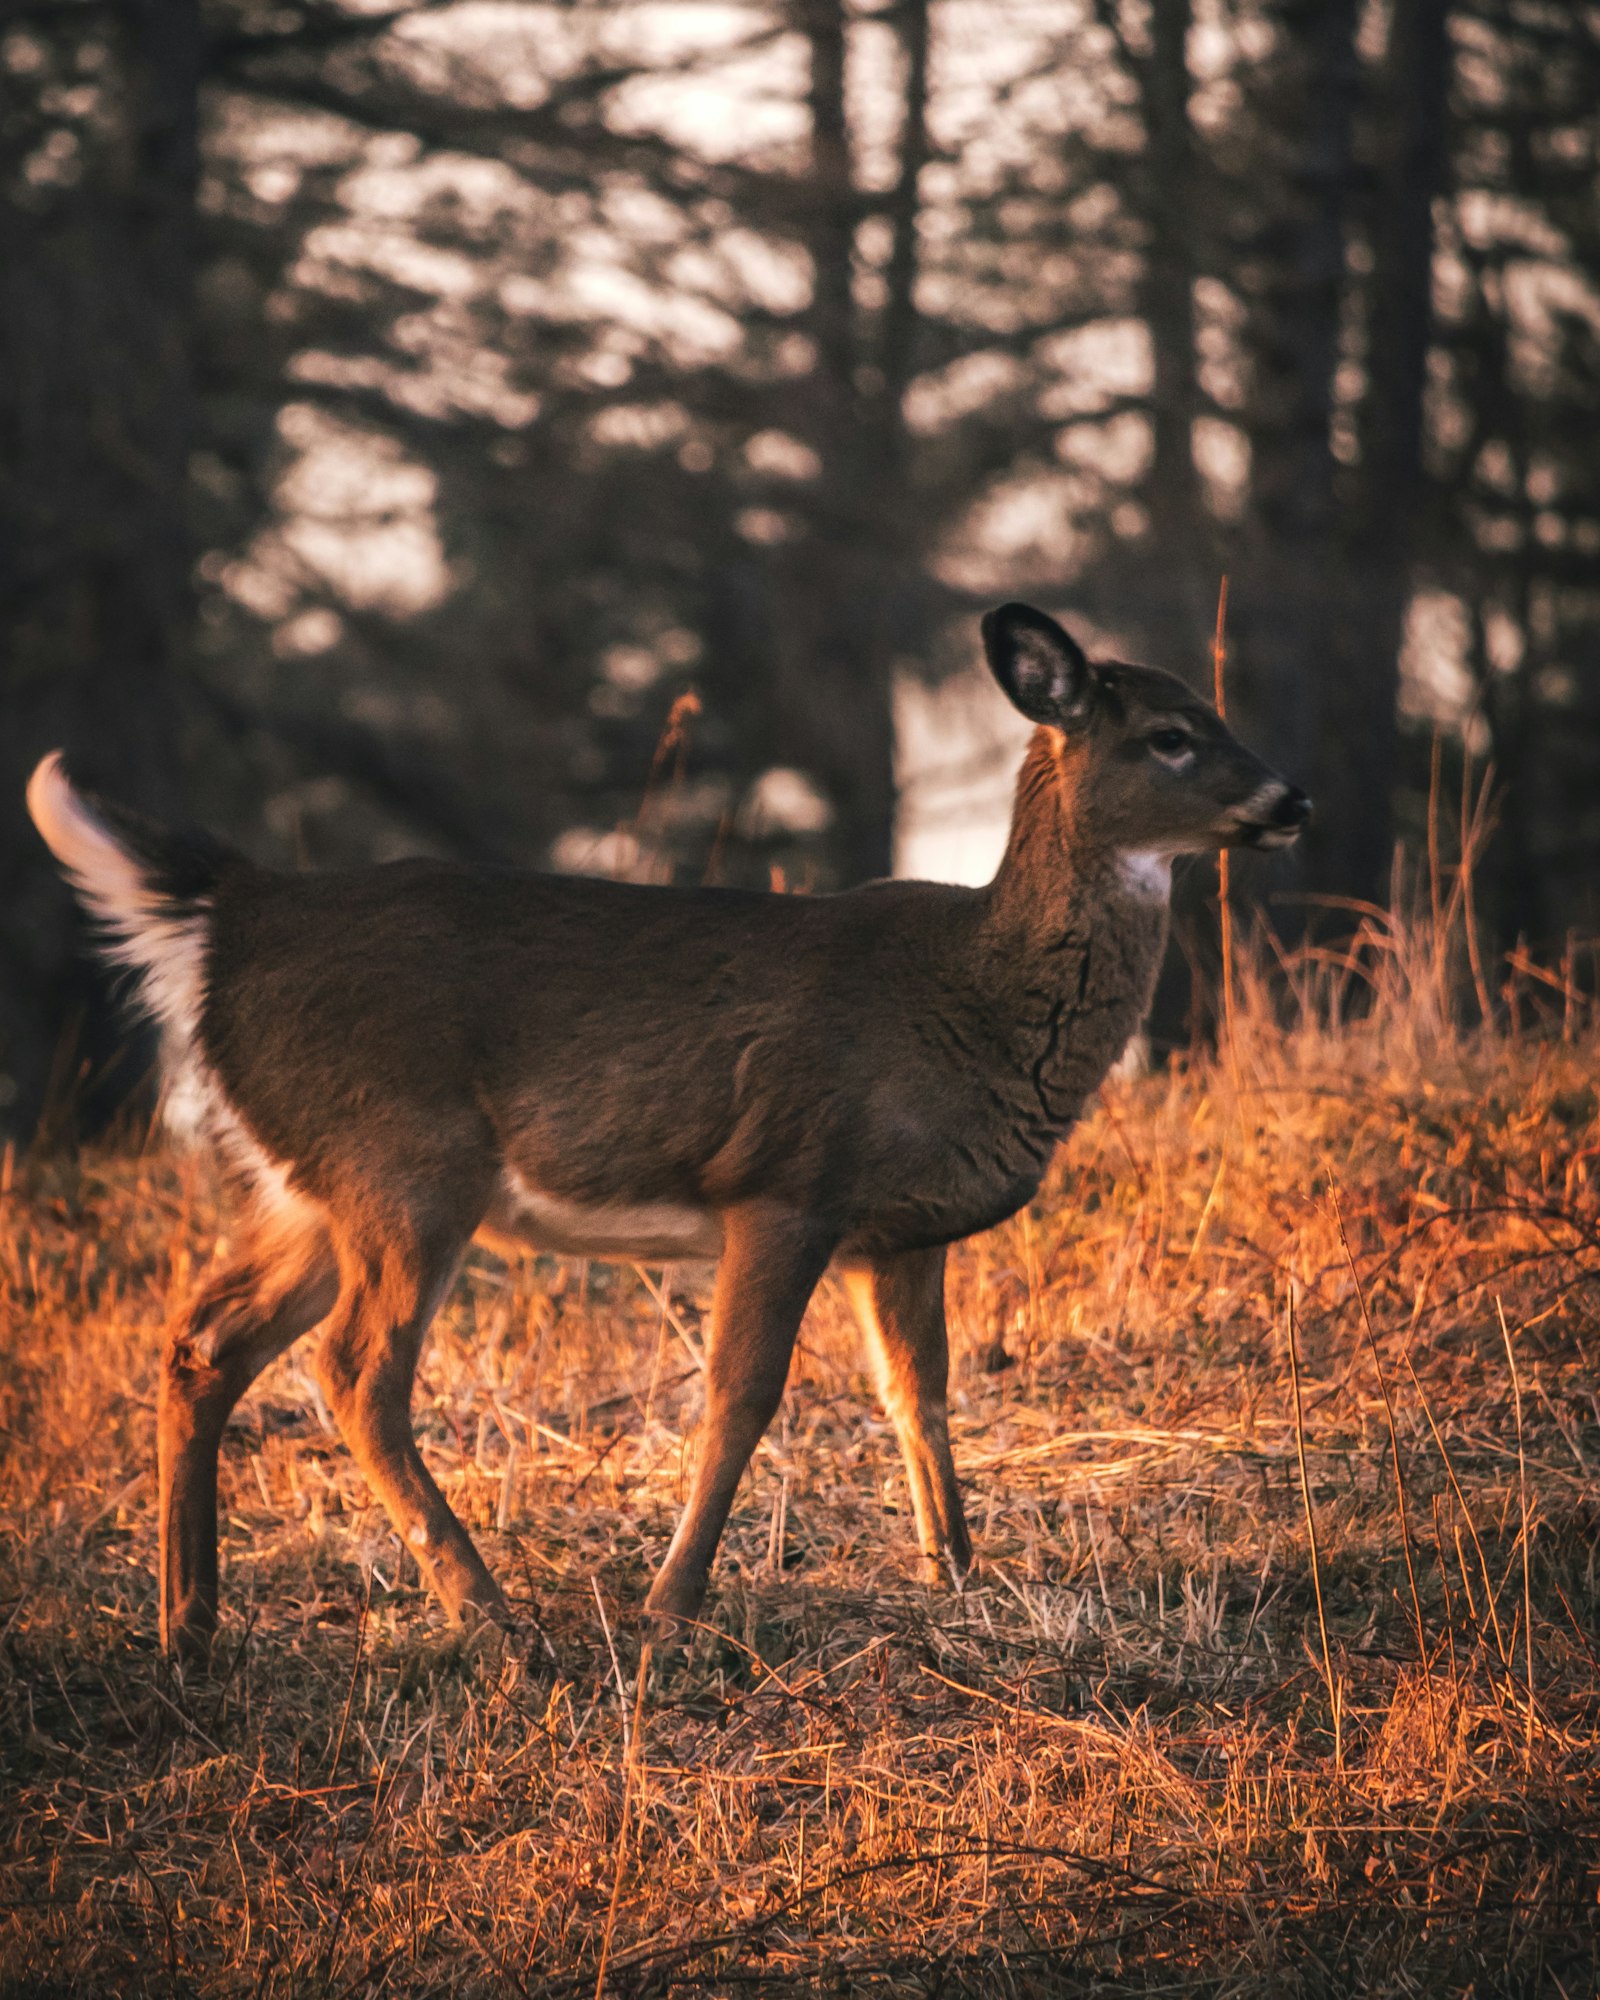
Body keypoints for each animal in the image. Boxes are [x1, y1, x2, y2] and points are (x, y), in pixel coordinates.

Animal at [25, 600, 1304, 1664]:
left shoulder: (896, 1231)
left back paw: (189, 1625)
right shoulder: (786, 1179)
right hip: (405, 1158)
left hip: (308, 1182)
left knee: (204, 1338)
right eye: (1171, 734)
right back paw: (490, 1614)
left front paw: (958, 1574)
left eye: (1218, 715)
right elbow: (742, 1392)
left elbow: (921, 1395)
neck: (968, 997)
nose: (1291, 800)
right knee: (353, 1368)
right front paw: (671, 1604)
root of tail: (231, 915)